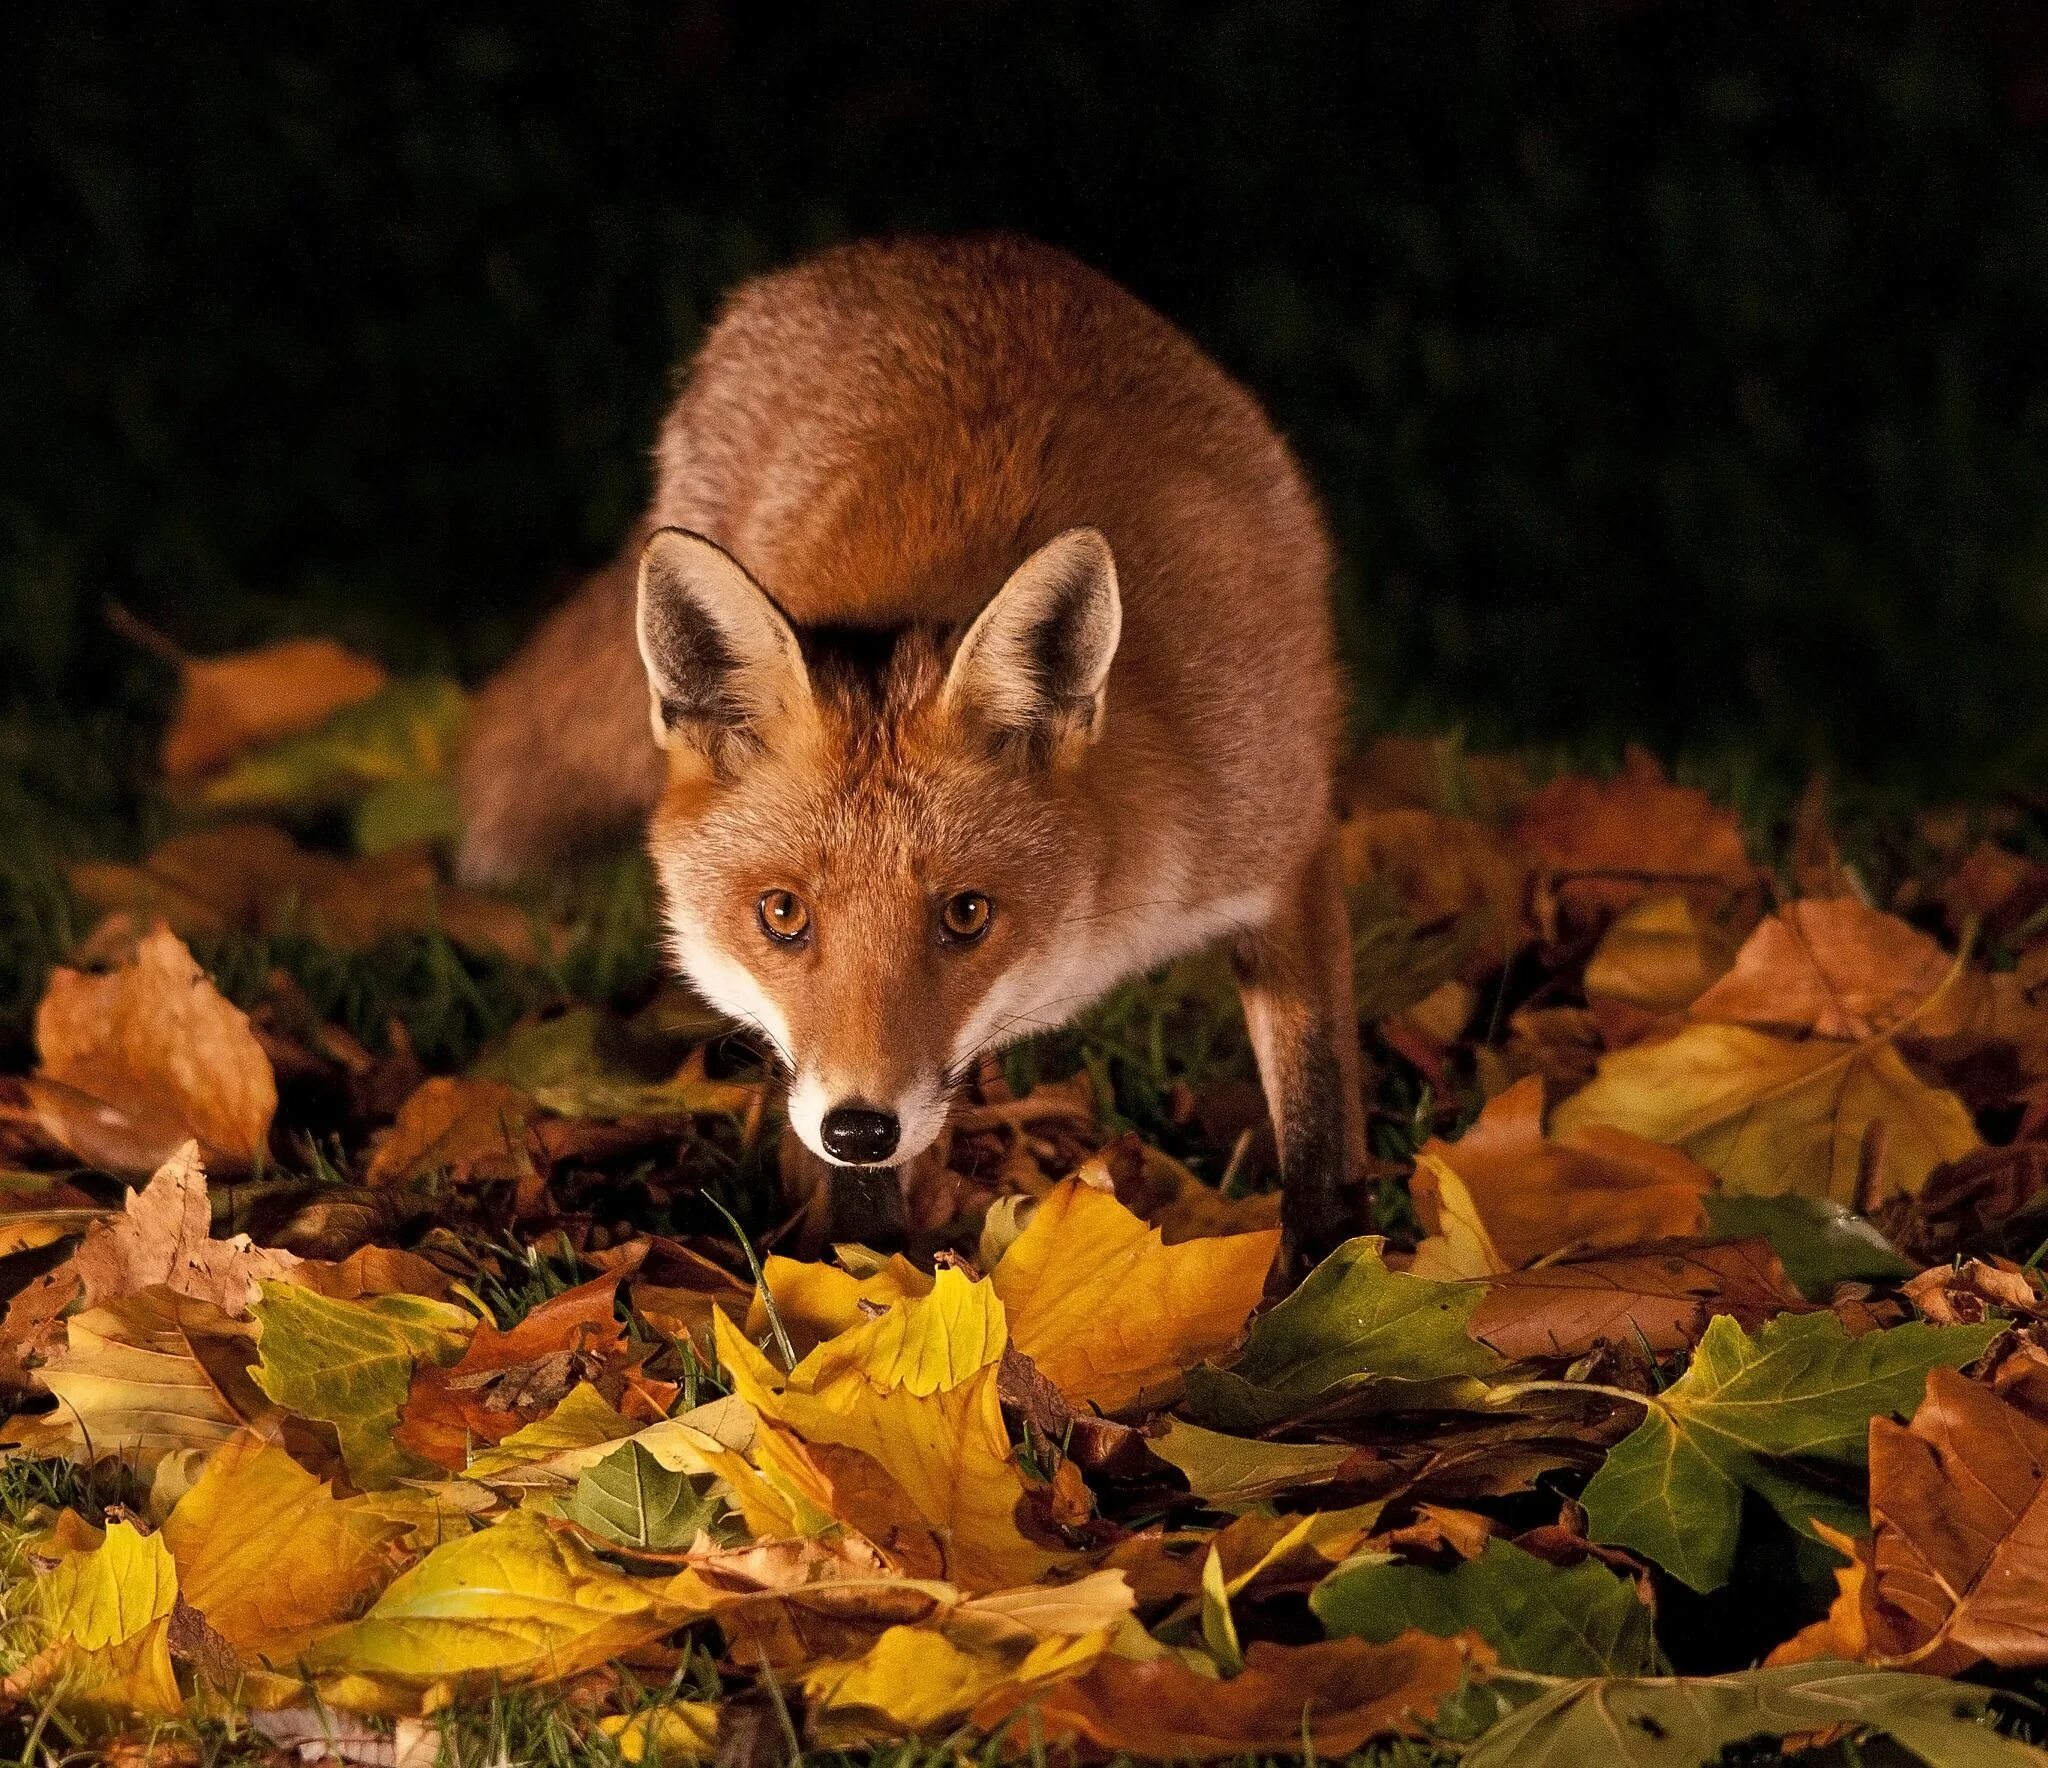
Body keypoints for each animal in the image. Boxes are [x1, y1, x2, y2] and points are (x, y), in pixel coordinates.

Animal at [456, 235, 1368, 1261]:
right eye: (781, 914)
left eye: (967, 915)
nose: (860, 1127)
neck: (1105, 916)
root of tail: (931, 248)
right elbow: (861, 1206)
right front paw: (874, 1280)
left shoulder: (1284, 839)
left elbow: (1319, 1121)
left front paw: (1328, 1274)